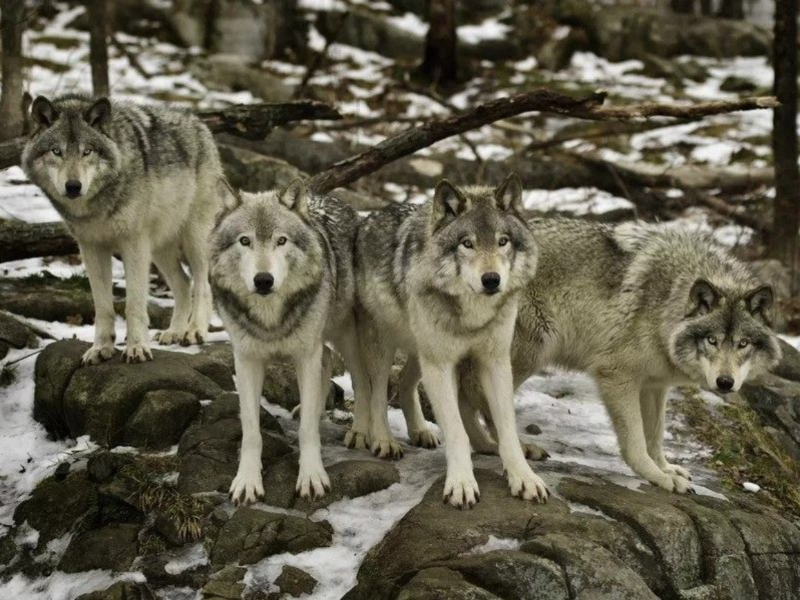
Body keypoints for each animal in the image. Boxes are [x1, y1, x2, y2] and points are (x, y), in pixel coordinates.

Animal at [21, 94, 222, 366]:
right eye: (56, 151)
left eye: (87, 151)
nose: (73, 186)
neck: (96, 207)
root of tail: (199, 122)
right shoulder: (92, 248)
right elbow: (103, 307)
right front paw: (100, 348)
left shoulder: (133, 244)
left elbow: (133, 304)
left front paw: (137, 348)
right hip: (159, 249)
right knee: (183, 283)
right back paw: (174, 332)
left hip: (194, 240)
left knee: (202, 283)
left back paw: (194, 331)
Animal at [208, 180, 368, 504]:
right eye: (245, 241)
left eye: (281, 241)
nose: (263, 280)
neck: (271, 319)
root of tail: (335, 200)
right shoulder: (246, 360)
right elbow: (251, 430)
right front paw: (247, 481)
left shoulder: (305, 355)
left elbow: (307, 431)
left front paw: (312, 477)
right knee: (326, 364)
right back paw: (314, 409)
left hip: (345, 335)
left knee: (361, 381)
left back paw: (361, 431)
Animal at [354, 173, 548, 506]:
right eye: (467, 244)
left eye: (503, 241)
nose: (491, 280)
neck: (473, 314)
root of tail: (370, 217)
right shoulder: (441, 364)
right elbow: (456, 430)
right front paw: (461, 484)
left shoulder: (494, 362)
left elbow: (506, 426)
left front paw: (523, 477)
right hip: (388, 346)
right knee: (378, 390)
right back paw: (383, 440)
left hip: (421, 352)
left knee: (405, 383)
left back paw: (425, 431)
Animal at [446, 219, 784, 492]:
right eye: (712, 340)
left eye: (743, 344)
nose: (725, 383)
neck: (667, 301)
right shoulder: (617, 376)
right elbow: (635, 442)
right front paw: (659, 478)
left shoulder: (655, 386)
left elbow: (655, 437)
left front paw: (665, 468)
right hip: (530, 351)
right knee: (478, 396)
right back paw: (513, 449)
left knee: (464, 393)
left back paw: (486, 446)